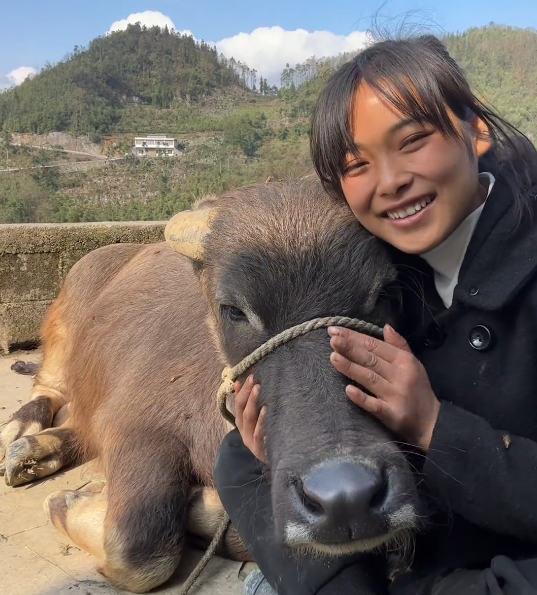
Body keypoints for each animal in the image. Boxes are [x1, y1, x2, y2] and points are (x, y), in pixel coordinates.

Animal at [0, 179, 420, 592]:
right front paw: (65, 502)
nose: (347, 499)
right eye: (234, 310)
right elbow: (141, 552)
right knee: (51, 389)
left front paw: (198, 506)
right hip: (67, 319)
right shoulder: (136, 426)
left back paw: (35, 452)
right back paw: (21, 435)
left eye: (385, 293)